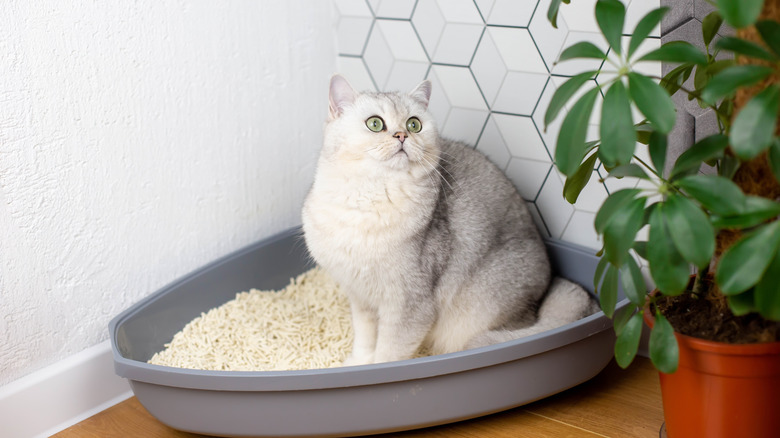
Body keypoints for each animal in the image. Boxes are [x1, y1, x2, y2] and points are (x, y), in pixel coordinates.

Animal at [300, 75, 596, 366]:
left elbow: (388, 353)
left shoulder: (410, 304)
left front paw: (377, 370)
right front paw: (358, 363)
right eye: (375, 124)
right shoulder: (360, 298)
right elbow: (364, 339)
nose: (402, 135)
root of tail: (547, 288)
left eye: (414, 124)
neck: (368, 197)